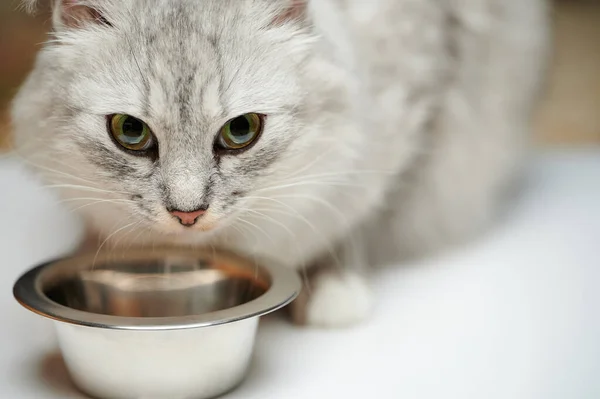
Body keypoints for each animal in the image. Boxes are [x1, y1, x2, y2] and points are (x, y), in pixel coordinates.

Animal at [11, 0, 552, 328]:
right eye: (130, 131)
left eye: (241, 130)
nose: (188, 215)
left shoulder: (422, 101)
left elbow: (361, 217)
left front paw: (335, 290)